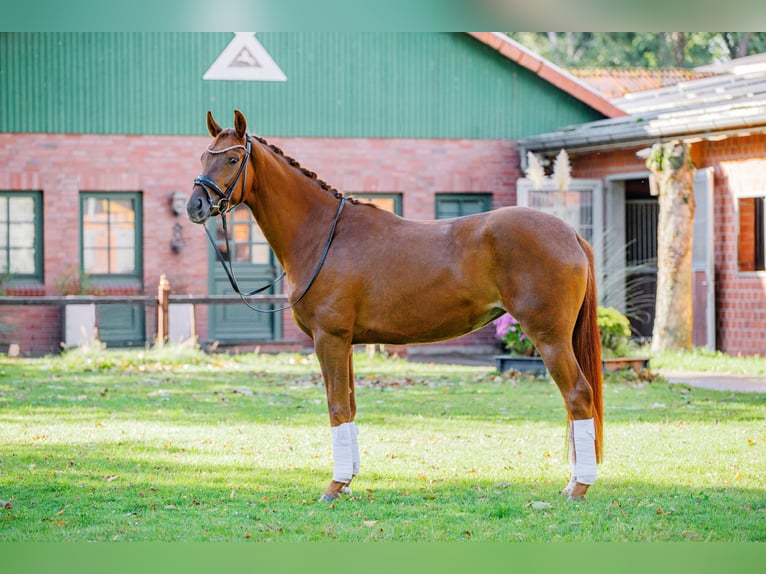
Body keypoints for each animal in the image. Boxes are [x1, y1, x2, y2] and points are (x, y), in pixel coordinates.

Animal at [189, 110, 604, 502]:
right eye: (203, 156)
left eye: (232, 159)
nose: (196, 205)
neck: (324, 235)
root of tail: (570, 233)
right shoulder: (346, 344)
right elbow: (350, 406)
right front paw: (348, 481)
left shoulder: (329, 339)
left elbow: (336, 407)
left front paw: (334, 486)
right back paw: (573, 483)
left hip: (549, 338)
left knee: (577, 397)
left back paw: (579, 488)